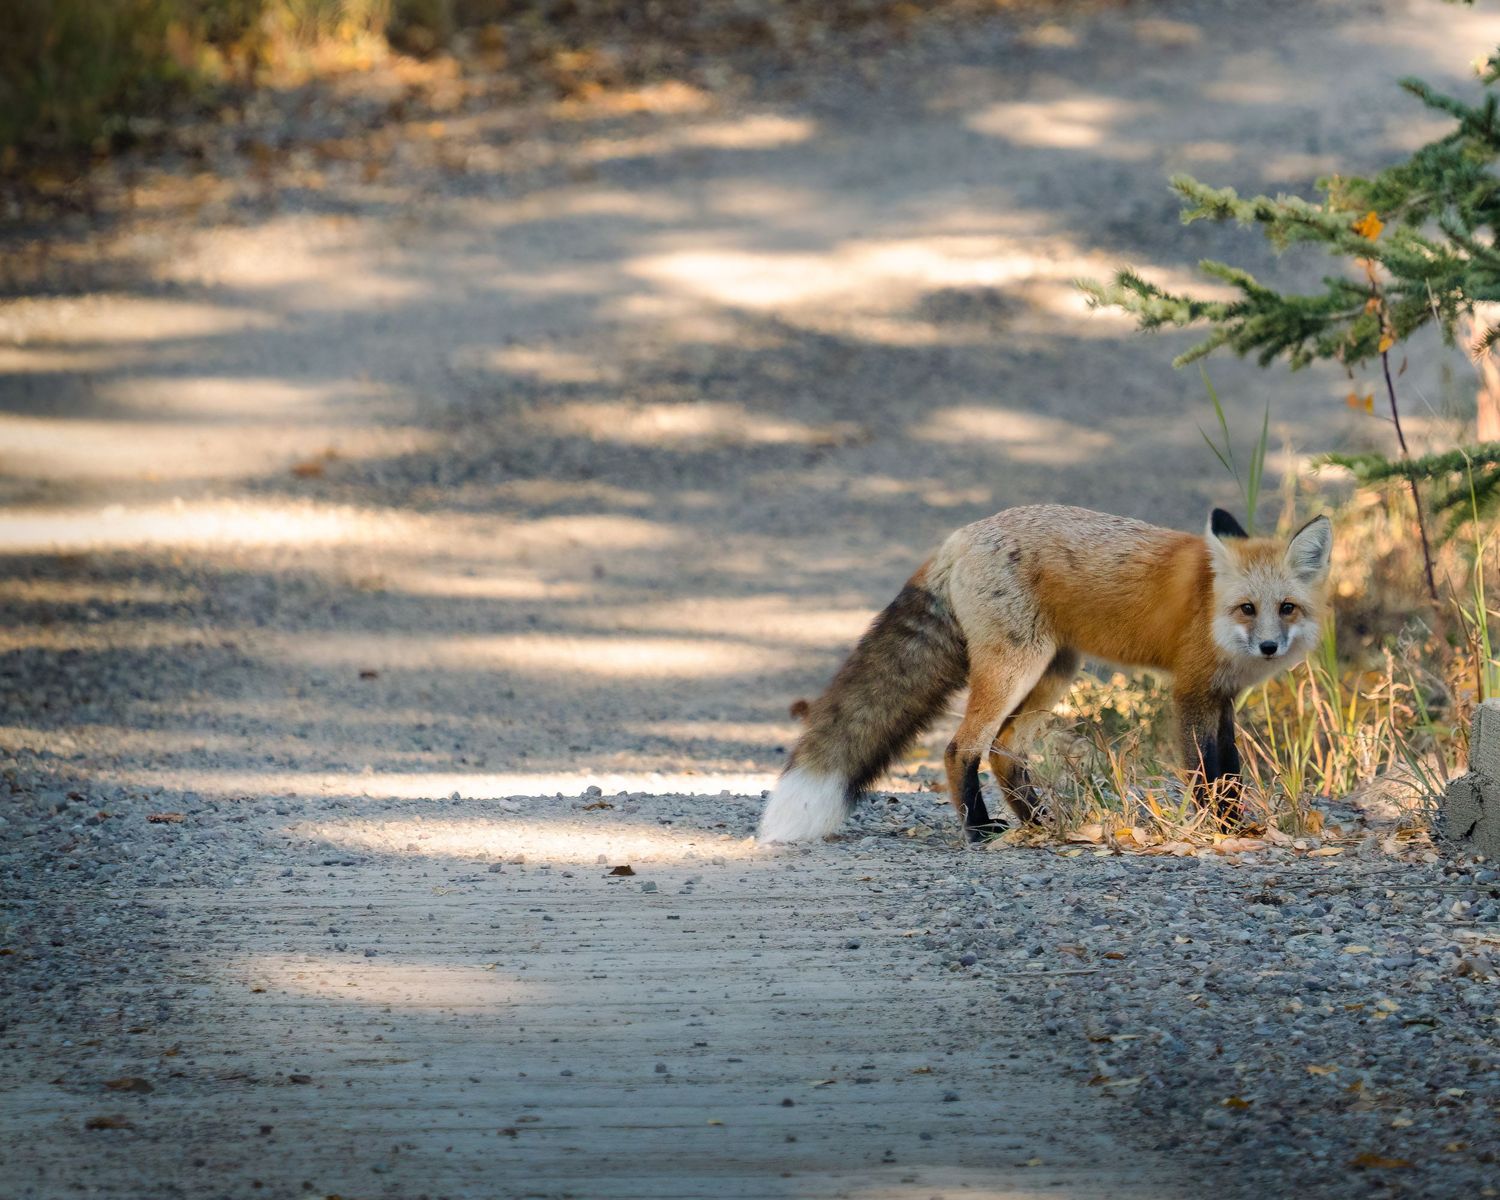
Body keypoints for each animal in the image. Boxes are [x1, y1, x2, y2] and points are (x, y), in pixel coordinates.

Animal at [757, 504, 1333, 844]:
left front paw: (1240, 826)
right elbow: (1205, 775)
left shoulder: (1222, 699)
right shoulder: (1190, 693)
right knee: (962, 748)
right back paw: (979, 829)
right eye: (1246, 609)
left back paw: (1038, 824)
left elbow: (1230, 771)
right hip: (1015, 669)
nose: (1269, 646)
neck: (1209, 608)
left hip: (1054, 673)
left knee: (1003, 750)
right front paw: (1220, 829)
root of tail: (961, 536)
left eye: (1286, 608)